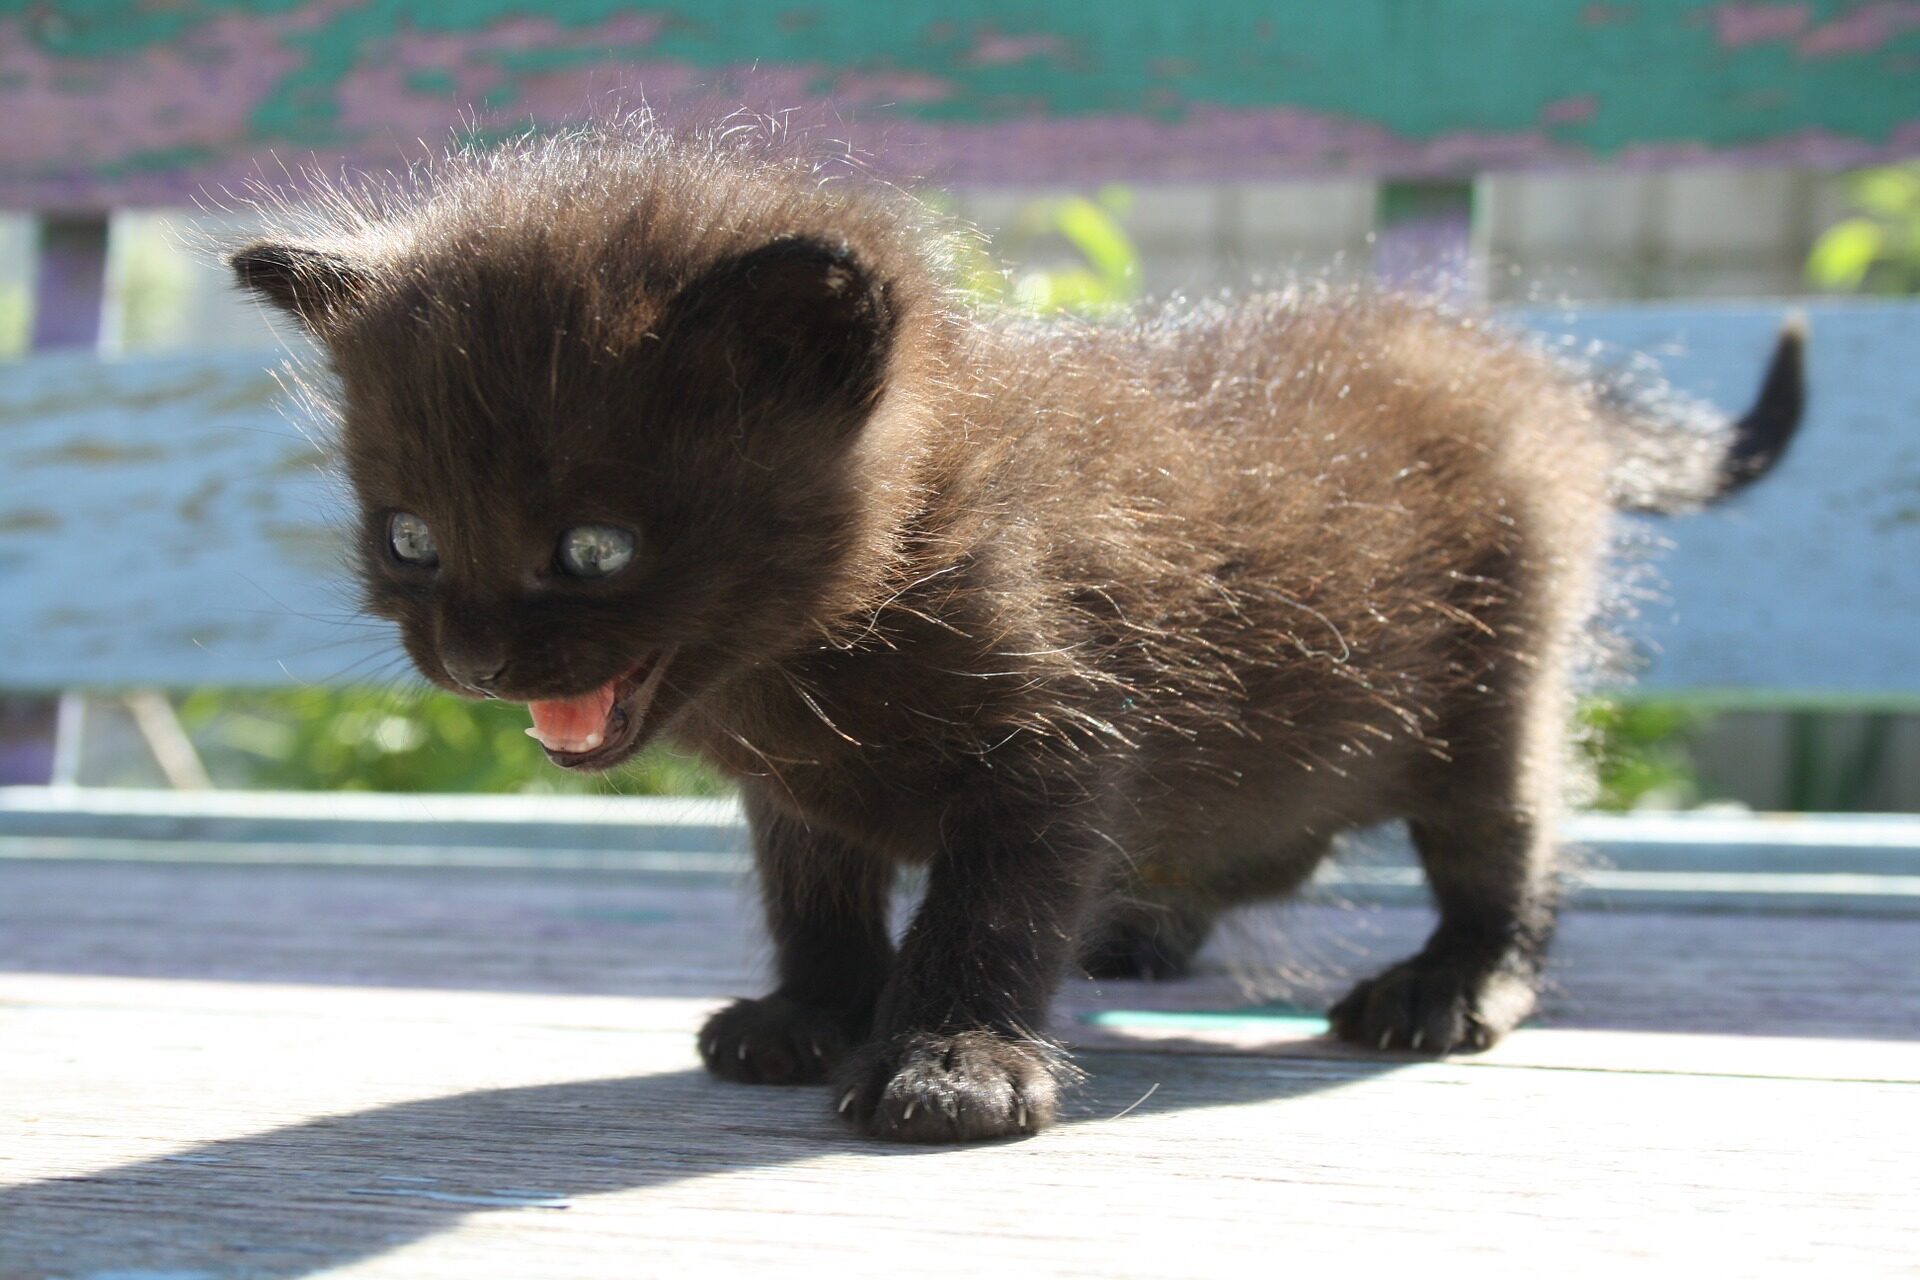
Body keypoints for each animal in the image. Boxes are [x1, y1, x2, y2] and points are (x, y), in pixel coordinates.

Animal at [232, 122, 1804, 1143]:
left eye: (595, 549)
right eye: (411, 538)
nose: (475, 661)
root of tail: (1528, 368)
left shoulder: (1060, 738)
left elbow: (989, 910)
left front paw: (950, 1062)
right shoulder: (800, 798)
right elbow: (814, 896)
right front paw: (811, 1010)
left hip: (1493, 686)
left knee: (1508, 839)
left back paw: (1452, 982)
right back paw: (1148, 925)